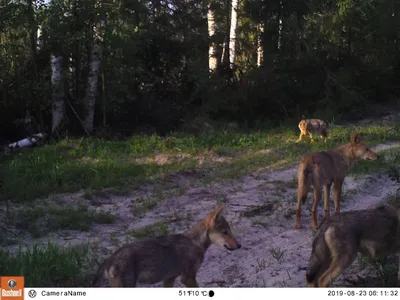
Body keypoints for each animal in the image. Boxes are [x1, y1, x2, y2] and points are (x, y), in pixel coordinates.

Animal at [91, 205, 241, 288]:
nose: (239, 245)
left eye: (230, 231)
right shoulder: (188, 278)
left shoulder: (169, 279)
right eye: (225, 232)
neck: (194, 242)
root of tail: (110, 258)